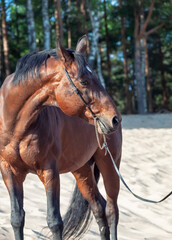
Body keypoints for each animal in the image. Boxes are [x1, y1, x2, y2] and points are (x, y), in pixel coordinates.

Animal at [0, 36, 121, 240]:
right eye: (84, 81)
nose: (114, 119)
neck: (16, 127)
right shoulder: (9, 171)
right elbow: (17, 218)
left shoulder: (49, 171)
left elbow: (54, 222)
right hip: (82, 171)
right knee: (99, 208)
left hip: (109, 165)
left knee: (112, 211)